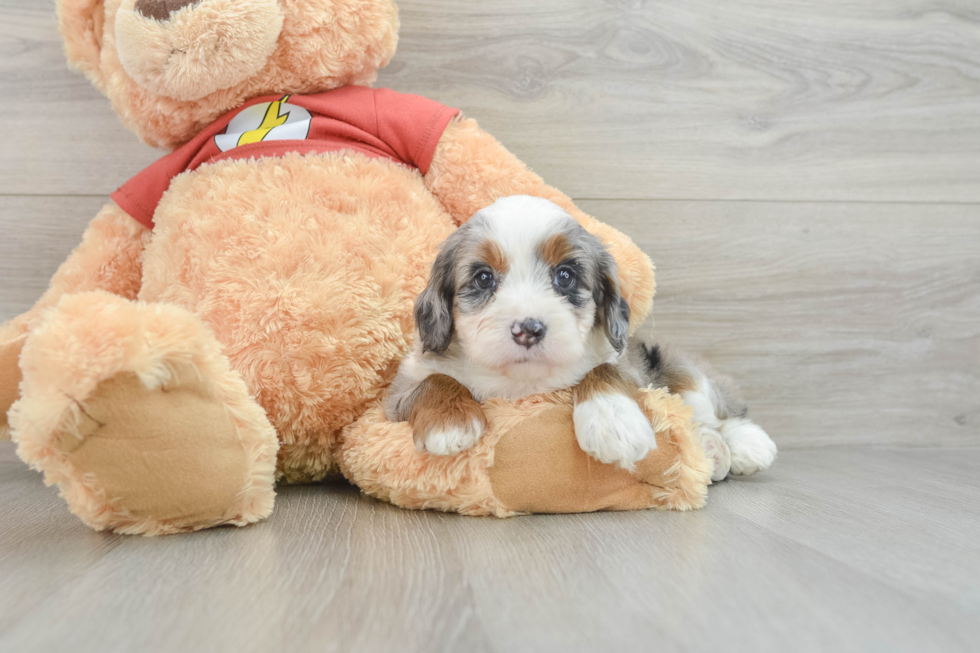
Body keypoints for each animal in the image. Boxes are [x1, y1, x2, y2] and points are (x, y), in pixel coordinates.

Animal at [386, 196, 776, 476]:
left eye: (565, 276)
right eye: (483, 278)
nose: (528, 329)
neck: (521, 382)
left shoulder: (629, 365)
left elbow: (603, 370)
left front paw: (614, 422)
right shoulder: (395, 398)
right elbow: (434, 380)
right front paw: (449, 423)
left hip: (678, 369)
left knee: (713, 413)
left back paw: (745, 444)